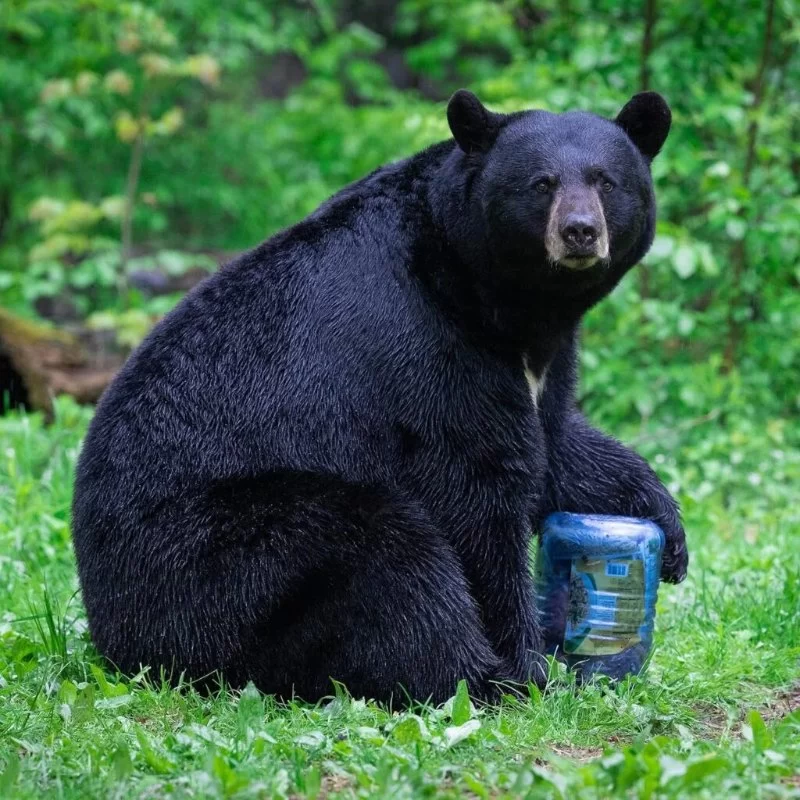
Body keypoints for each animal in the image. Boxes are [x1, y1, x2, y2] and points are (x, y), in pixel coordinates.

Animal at [72, 89, 689, 705]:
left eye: (606, 180)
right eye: (541, 183)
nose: (580, 231)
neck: (501, 300)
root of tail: (114, 631)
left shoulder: (541, 359)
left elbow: (556, 442)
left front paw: (666, 530)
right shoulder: (430, 346)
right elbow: (477, 489)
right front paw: (528, 665)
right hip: (215, 558)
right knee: (386, 555)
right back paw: (479, 677)